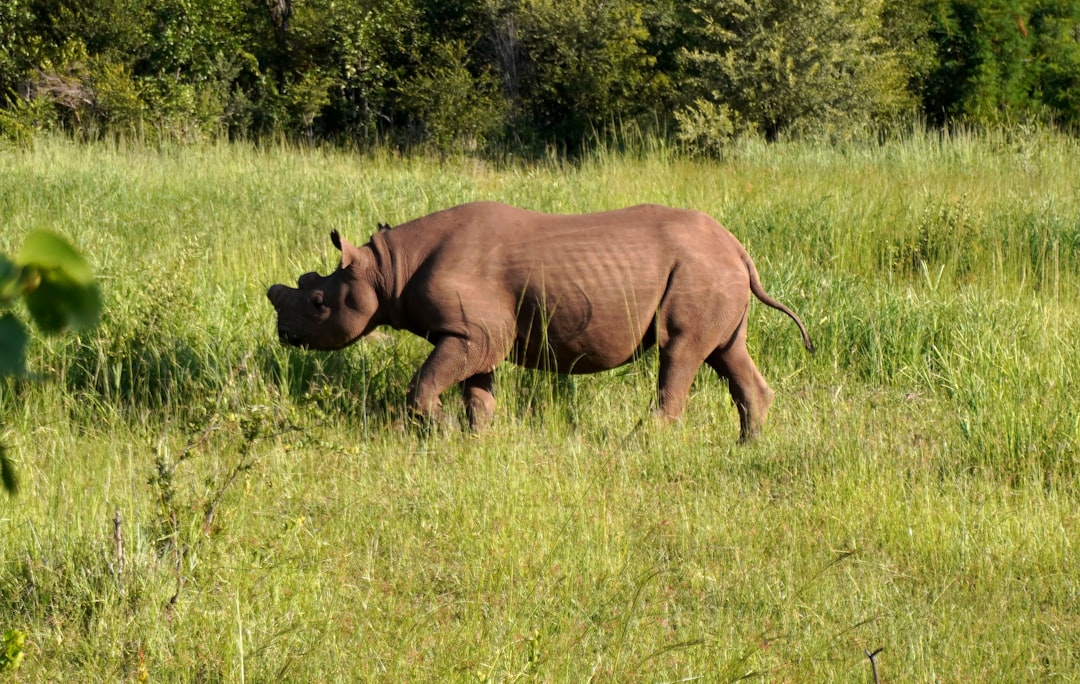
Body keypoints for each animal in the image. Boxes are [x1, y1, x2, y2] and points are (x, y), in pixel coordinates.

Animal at [267, 201, 814, 440]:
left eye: (318, 301)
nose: (283, 335)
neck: (388, 267)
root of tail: (738, 248)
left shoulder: (471, 332)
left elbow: (423, 385)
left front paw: (442, 431)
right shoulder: (473, 333)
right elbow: (478, 394)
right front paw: (475, 440)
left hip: (701, 270)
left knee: (678, 351)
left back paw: (641, 444)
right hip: (715, 272)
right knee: (725, 352)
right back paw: (747, 446)